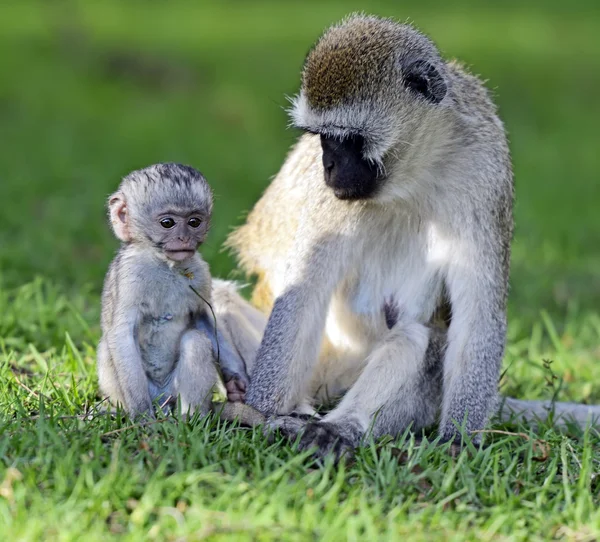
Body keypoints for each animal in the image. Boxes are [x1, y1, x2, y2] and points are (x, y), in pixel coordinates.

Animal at [97, 165, 252, 420]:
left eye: (194, 222)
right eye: (168, 223)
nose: (184, 238)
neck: (165, 265)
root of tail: (162, 400)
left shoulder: (200, 273)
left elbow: (204, 317)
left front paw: (236, 379)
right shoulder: (130, 275)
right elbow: (121, 334)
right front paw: (142, 417)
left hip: (172, 393)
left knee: (195, 341)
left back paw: (190, 418)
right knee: (107, 348)